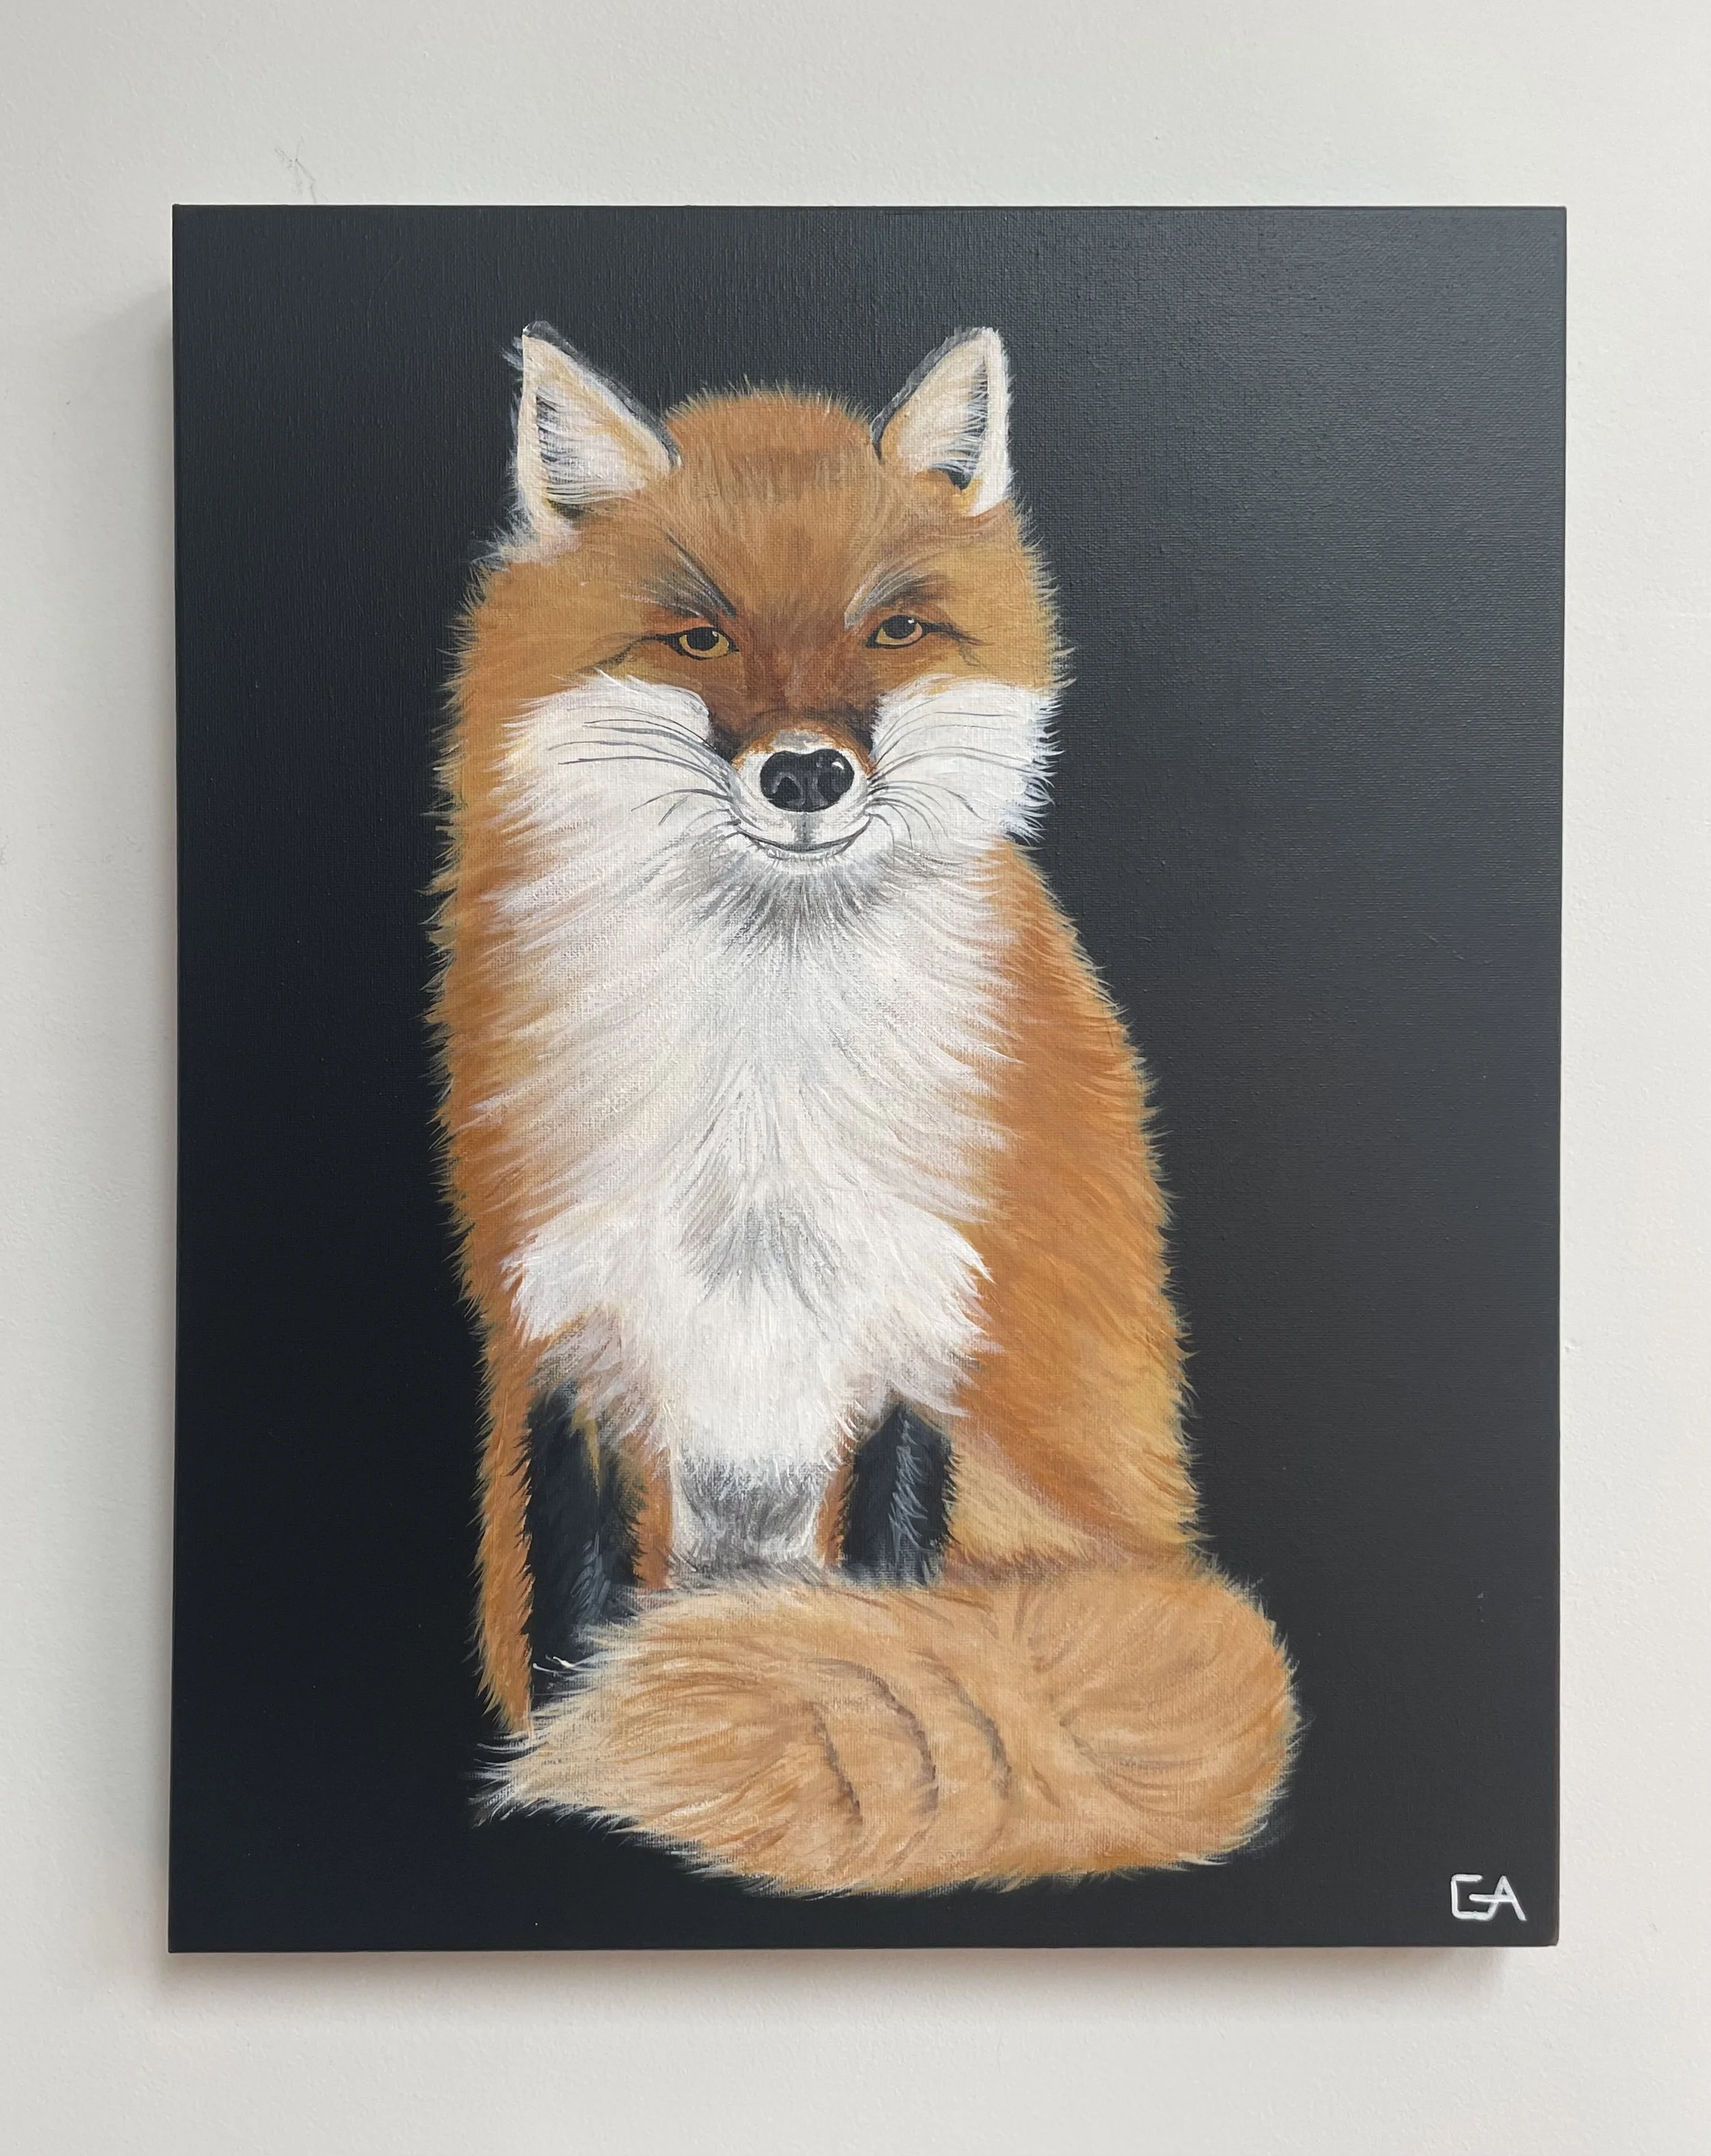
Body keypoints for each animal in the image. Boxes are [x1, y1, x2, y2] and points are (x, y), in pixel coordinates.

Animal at [433, 322, 1297, 1893]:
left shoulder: (920, 1309)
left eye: (891, 631)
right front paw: (564, 1741)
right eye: (697, 637)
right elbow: (577, 1602)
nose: (803, 773)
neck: (756, 1103)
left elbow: (885, 1578)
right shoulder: (570, 1313)